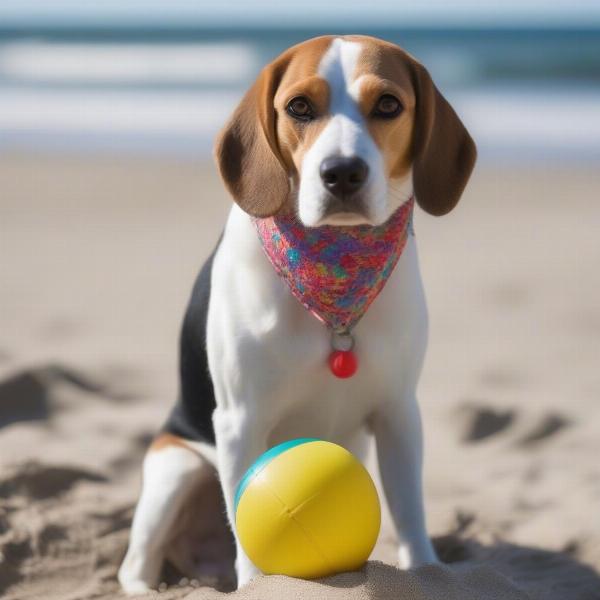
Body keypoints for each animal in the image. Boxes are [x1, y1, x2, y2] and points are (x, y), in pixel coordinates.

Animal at [118, 35, 474, 592]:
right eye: (299, 107)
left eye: (388, 104)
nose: (342, 172)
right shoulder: (239, 420)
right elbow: (248, 537)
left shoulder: (398, 411)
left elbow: (410, 515)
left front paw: (429, 574)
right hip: (174, 466)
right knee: (135, 564)